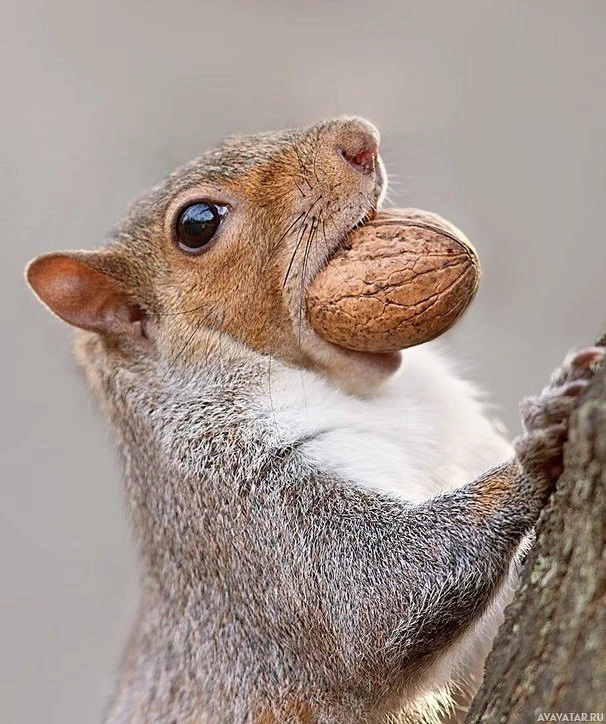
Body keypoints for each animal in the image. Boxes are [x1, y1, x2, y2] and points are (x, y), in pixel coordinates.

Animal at [26, 116, 604, 720]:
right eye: (197, 224)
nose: (360, 138)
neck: (372, 394)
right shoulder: (238, 503)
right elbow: (377, 589)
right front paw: (535, 448)